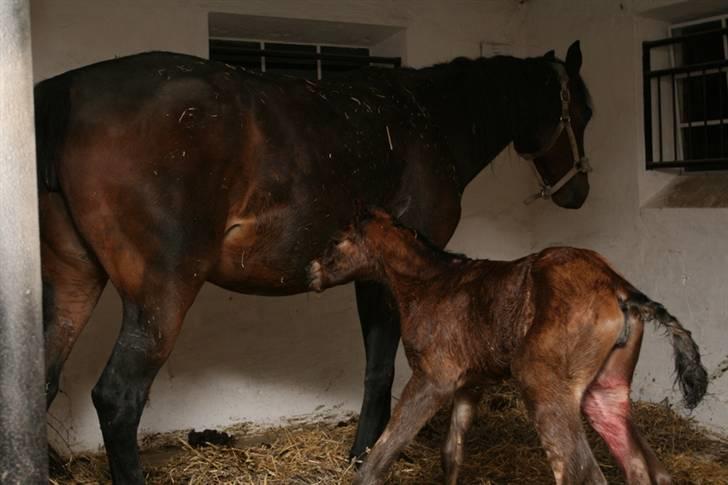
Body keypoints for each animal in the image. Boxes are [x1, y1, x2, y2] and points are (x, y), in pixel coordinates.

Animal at [308, 211, 704, 484]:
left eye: (336, 240)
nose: (310, 272)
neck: (428, 284)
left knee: (580, 472)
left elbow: (382, 453)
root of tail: (618, 287)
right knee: (646, 469)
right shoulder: (470, 383)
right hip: (605, 392)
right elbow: (451, 453)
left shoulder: (432, 378)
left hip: (542, 383)